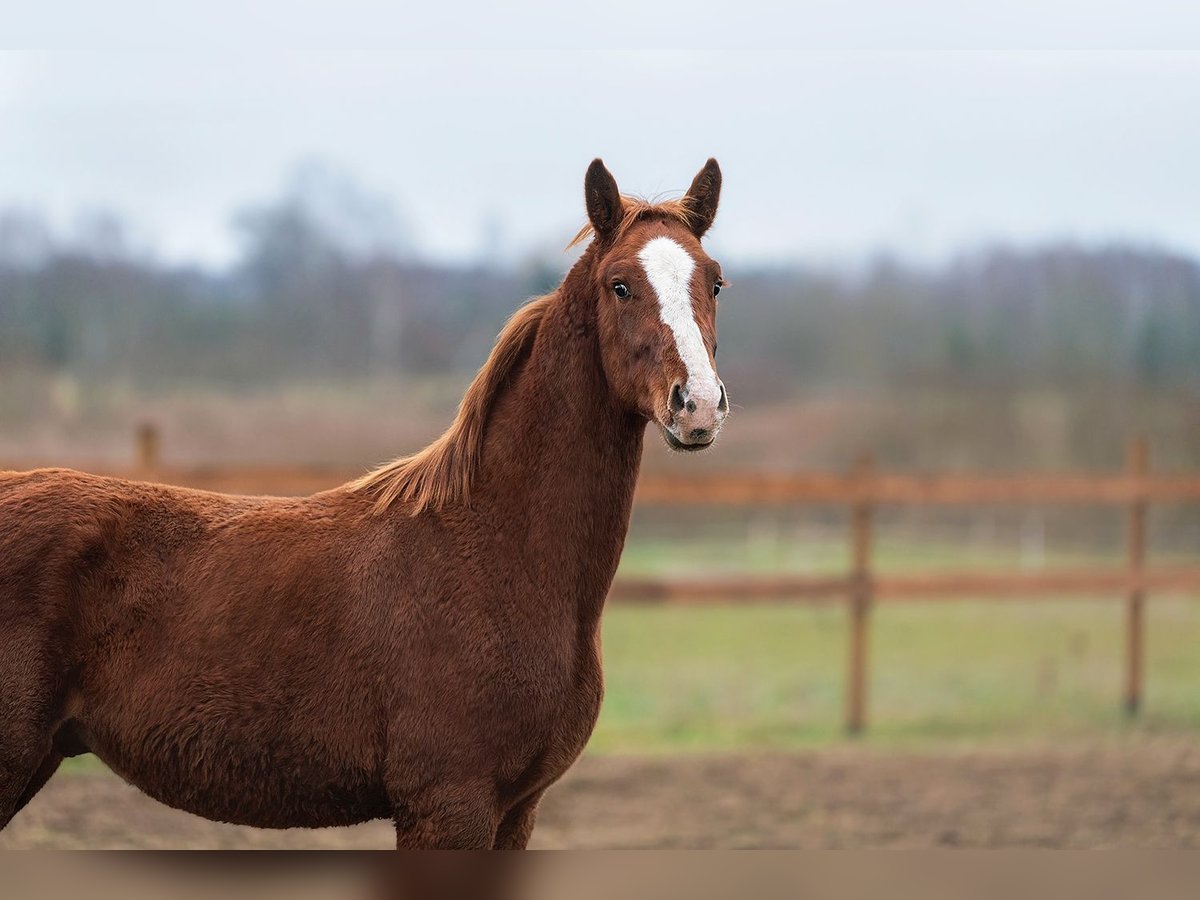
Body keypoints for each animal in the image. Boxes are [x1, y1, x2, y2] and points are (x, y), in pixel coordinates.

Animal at [0, 157, 729, 854]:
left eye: (715, 281)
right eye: (619, 284)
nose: (697, 405)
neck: (498, 550)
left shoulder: (516, 811)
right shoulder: (449, 804)